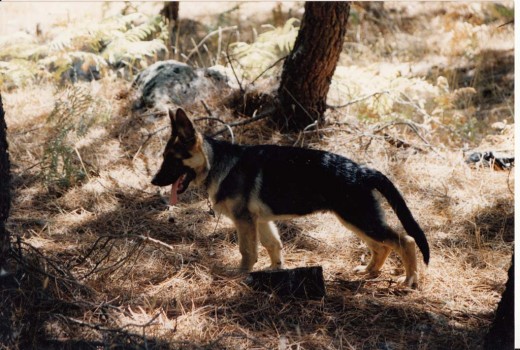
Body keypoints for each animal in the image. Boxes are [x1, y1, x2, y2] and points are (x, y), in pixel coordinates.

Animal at [152, 108, 428, 288]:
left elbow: (247, 251)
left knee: (405, 240)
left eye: (172, 160)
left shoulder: (244, 221)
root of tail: (362, 170)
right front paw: (276, 270)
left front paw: (240, 274)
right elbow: (273, 245)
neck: (218, 162)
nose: (154, 181)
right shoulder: (261, 221)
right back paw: (369, 271)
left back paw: (409, 280)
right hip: (355, 221)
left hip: (360, 219)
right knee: (383, 246)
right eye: (163, 157)